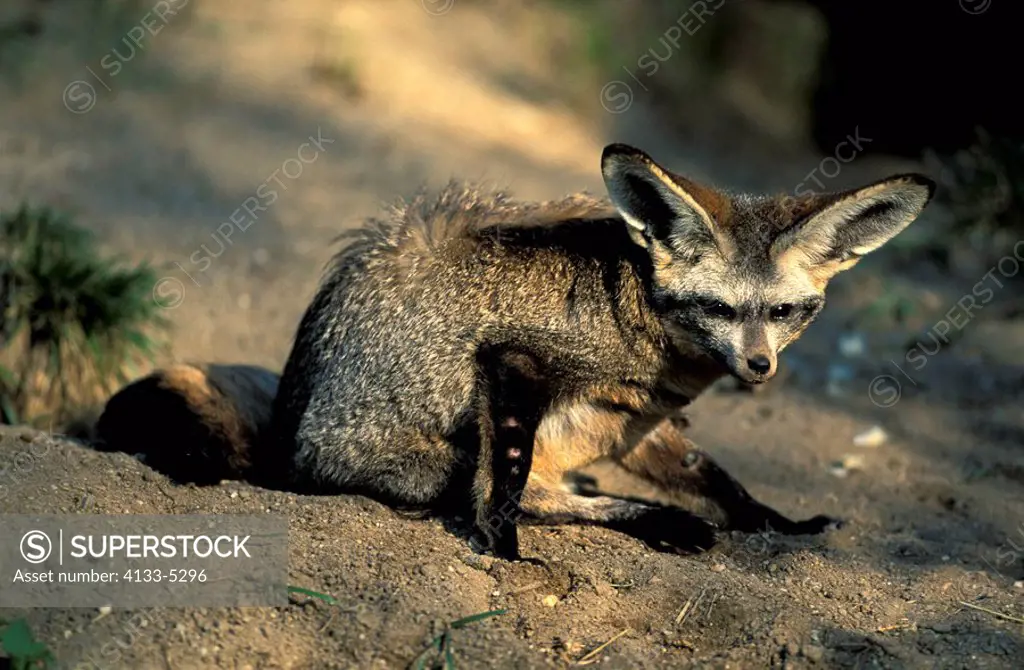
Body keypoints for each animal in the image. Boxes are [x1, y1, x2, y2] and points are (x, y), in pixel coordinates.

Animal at [96, 144, 937, 557]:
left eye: (786, 312)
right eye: (719, 309)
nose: (759, 369)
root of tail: (281, 443)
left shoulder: (642, 416)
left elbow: (720, 480)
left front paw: (777, 523)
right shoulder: (515, 362)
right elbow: (502, 488)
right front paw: (501, 545)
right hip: (442, 450)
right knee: (511, 490)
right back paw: (650, 523)